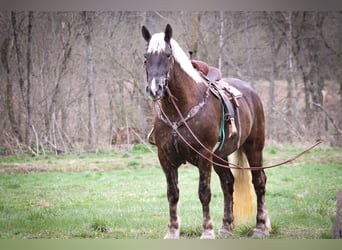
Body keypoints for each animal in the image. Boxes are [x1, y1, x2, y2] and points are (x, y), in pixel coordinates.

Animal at [141, 24, 270, 239]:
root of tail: (251, 93)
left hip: (254, 148)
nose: (154, 89)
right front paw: (172, 230)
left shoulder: (203, 156)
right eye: (146, 56)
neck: (180, 109)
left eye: (167, 55)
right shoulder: (166, 158)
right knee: (228, 183)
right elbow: (172, 193)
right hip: (220, 156)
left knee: (259, 181)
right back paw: (226, 226)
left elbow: (204, 193)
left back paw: (261, 227)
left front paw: (207, 230)